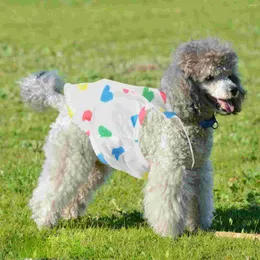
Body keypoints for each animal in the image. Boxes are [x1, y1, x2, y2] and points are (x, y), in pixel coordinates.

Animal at [20, 38, 246, 238]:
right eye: (209, 77)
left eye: (229, 75)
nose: (234, 90)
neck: (189, 118)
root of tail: (61, 103)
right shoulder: (170, 168)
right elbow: (167, 202)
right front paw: (169, 233)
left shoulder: (198, 168)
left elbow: (200, 199)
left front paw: (199, 227)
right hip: (69, 154)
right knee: (52, 187)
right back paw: (44, 221)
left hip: (95, 162)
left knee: (79, 187)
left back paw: (68, 213)